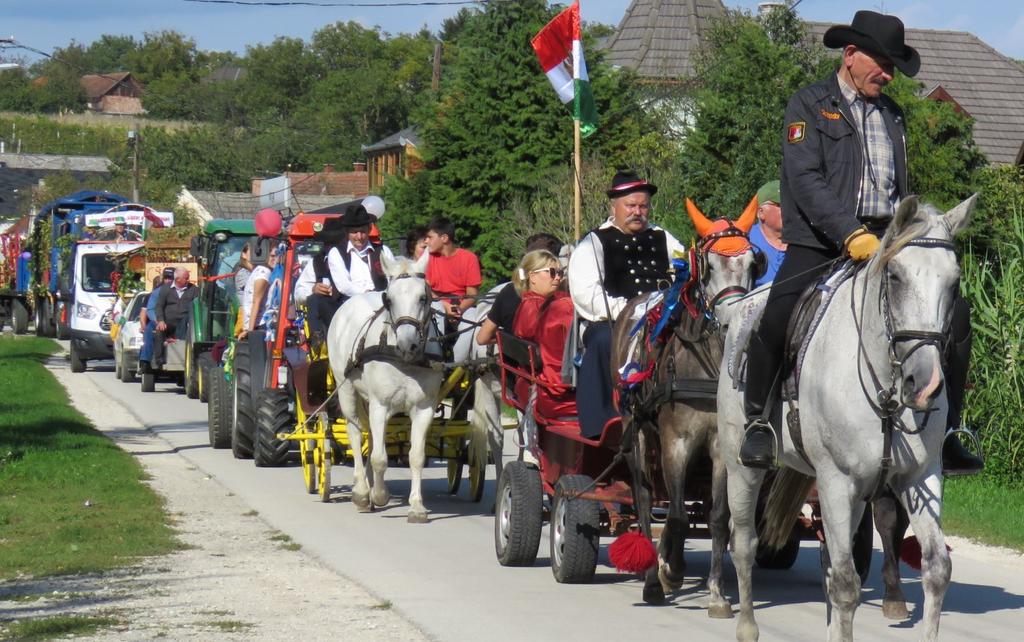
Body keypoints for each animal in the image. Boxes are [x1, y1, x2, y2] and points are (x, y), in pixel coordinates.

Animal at [327, 250, 440, 522]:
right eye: (388, 300)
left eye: (423, 297)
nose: (407, 344)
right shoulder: (381, 406)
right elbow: (380, 458)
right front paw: (378, 495)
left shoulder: (424, 409)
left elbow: (416, 457)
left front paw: (417, 506)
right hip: (346, 390)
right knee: (356, 432)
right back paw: (361, 491)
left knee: (368, 435)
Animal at [716, 195, 970, 642]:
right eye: (896, 277)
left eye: (954, 283)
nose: (924, 383)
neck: (887, 389)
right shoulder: (837, 480)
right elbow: (847, 585)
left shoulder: (919, 476)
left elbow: (936, 569)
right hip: (741, 466)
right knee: (743, 543)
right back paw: (745, 625)